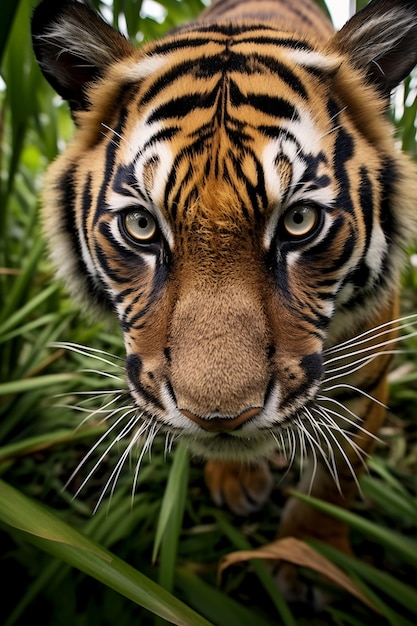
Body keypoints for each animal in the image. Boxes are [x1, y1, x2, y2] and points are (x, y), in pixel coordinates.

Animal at [30, 0, 416, 604]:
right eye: (141, 226)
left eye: (299, 221)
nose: (219, 418)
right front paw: (235, 480)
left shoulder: (369, 371)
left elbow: (335, 480)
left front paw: (313, 559)